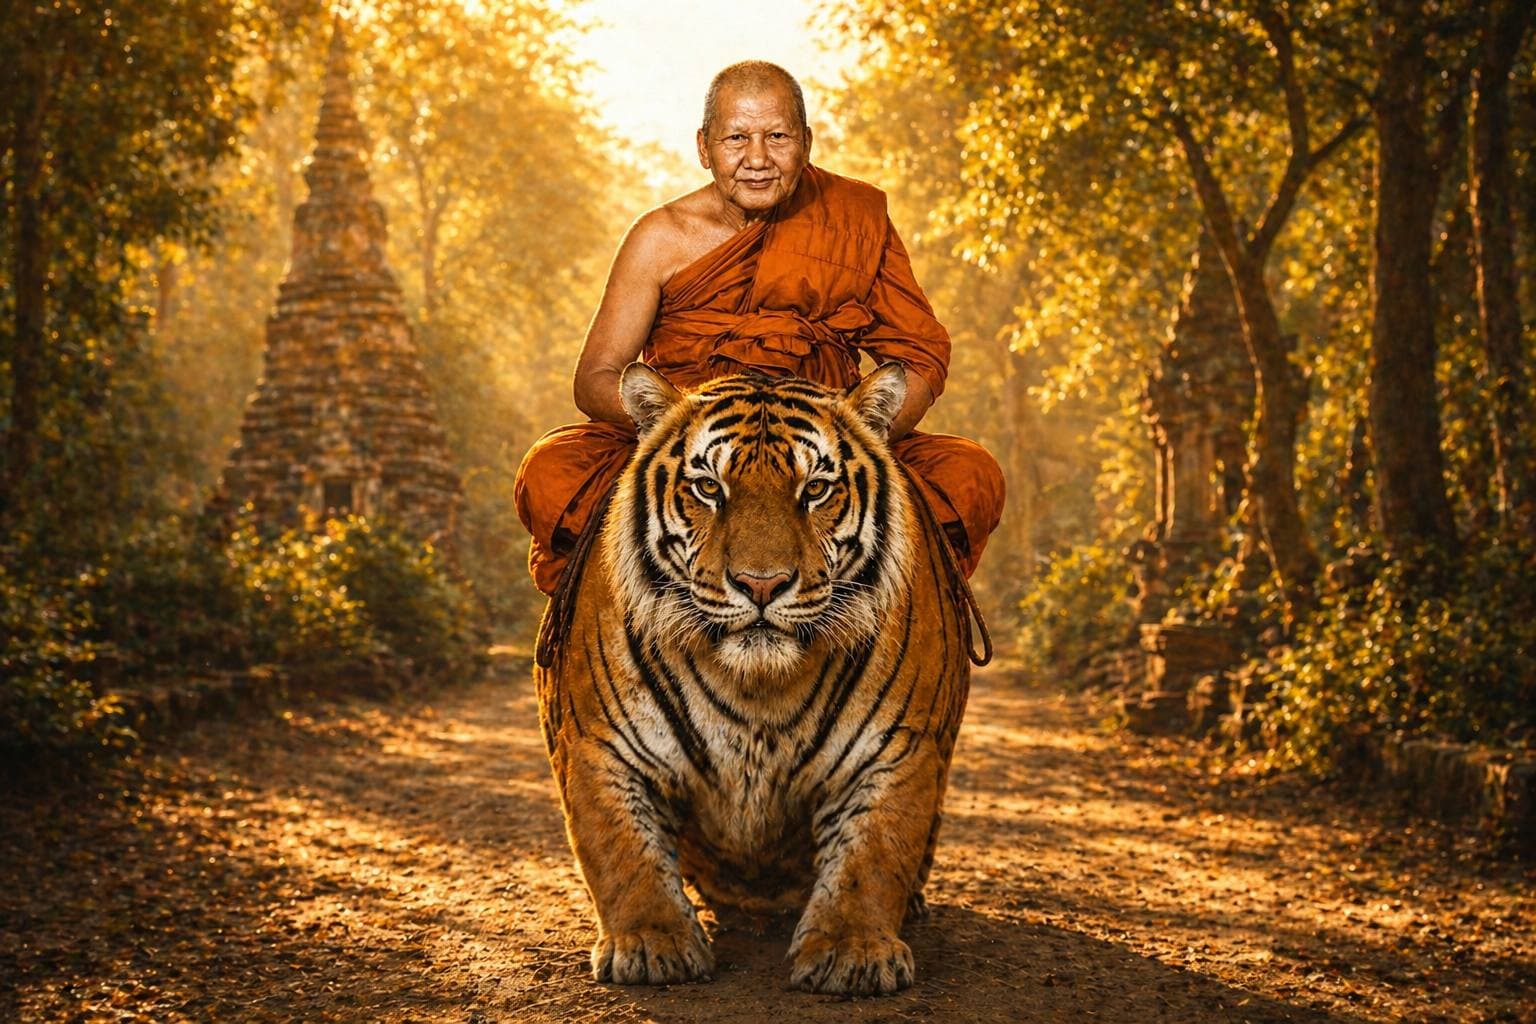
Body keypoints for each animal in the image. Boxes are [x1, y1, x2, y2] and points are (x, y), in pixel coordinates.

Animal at [534, 361, 977, 996]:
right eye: (708, 488)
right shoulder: (601, 746)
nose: (761, 584)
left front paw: (851, 953)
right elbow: (621, 850)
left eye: (814, 490)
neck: (757, 683)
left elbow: (872, 854)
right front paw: (652, 943)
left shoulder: (896, 751)